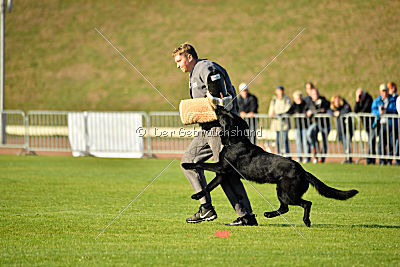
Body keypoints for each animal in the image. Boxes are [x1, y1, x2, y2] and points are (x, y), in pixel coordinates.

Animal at [182, 105, 360, 227]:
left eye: (225, 114)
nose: (218, 105)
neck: (235, 140)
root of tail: (304, 171)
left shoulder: (221, 167)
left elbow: (200, 163)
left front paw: (186, 163)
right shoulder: (222, 175)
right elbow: (208, 187)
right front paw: (196, 195)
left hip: (287, 192)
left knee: (306, 203)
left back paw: (306, 221)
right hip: (281, 191)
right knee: (285, 208)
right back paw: (269, 214)